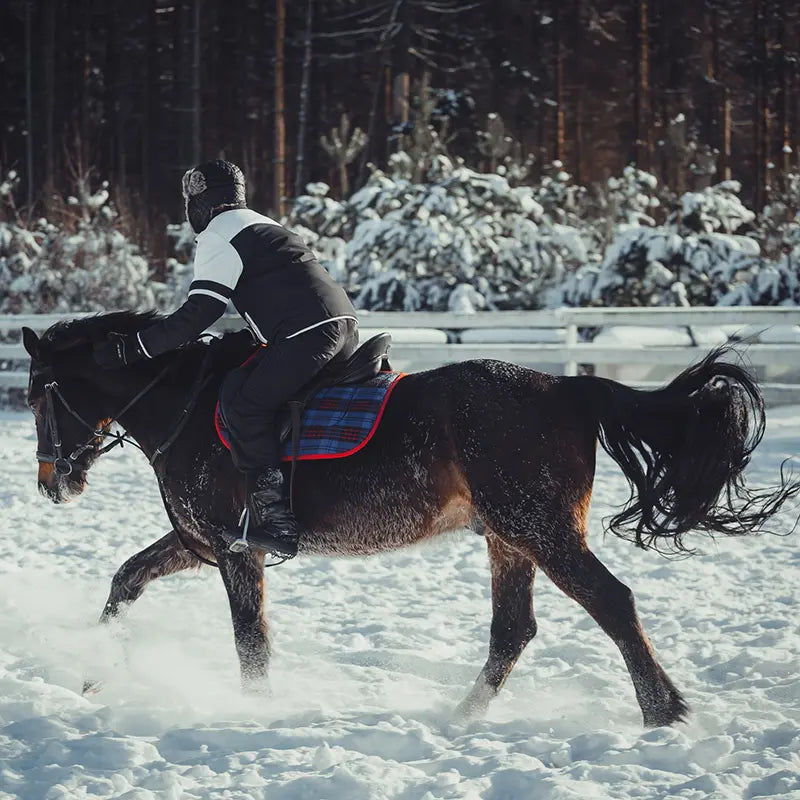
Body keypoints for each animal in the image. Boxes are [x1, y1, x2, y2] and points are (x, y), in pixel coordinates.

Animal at [21, 311, 799, 728]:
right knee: (513, 630)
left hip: (541, 530)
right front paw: (91, 673)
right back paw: (461, 718)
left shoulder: (237, 550)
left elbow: (251, 642)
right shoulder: (202, 543)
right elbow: (127, 578)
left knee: (612, 602)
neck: (186, 404)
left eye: (36, 396)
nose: (53, 483)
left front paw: (256, 710)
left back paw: (662, 711)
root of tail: (567, 387)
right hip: (509, 538)